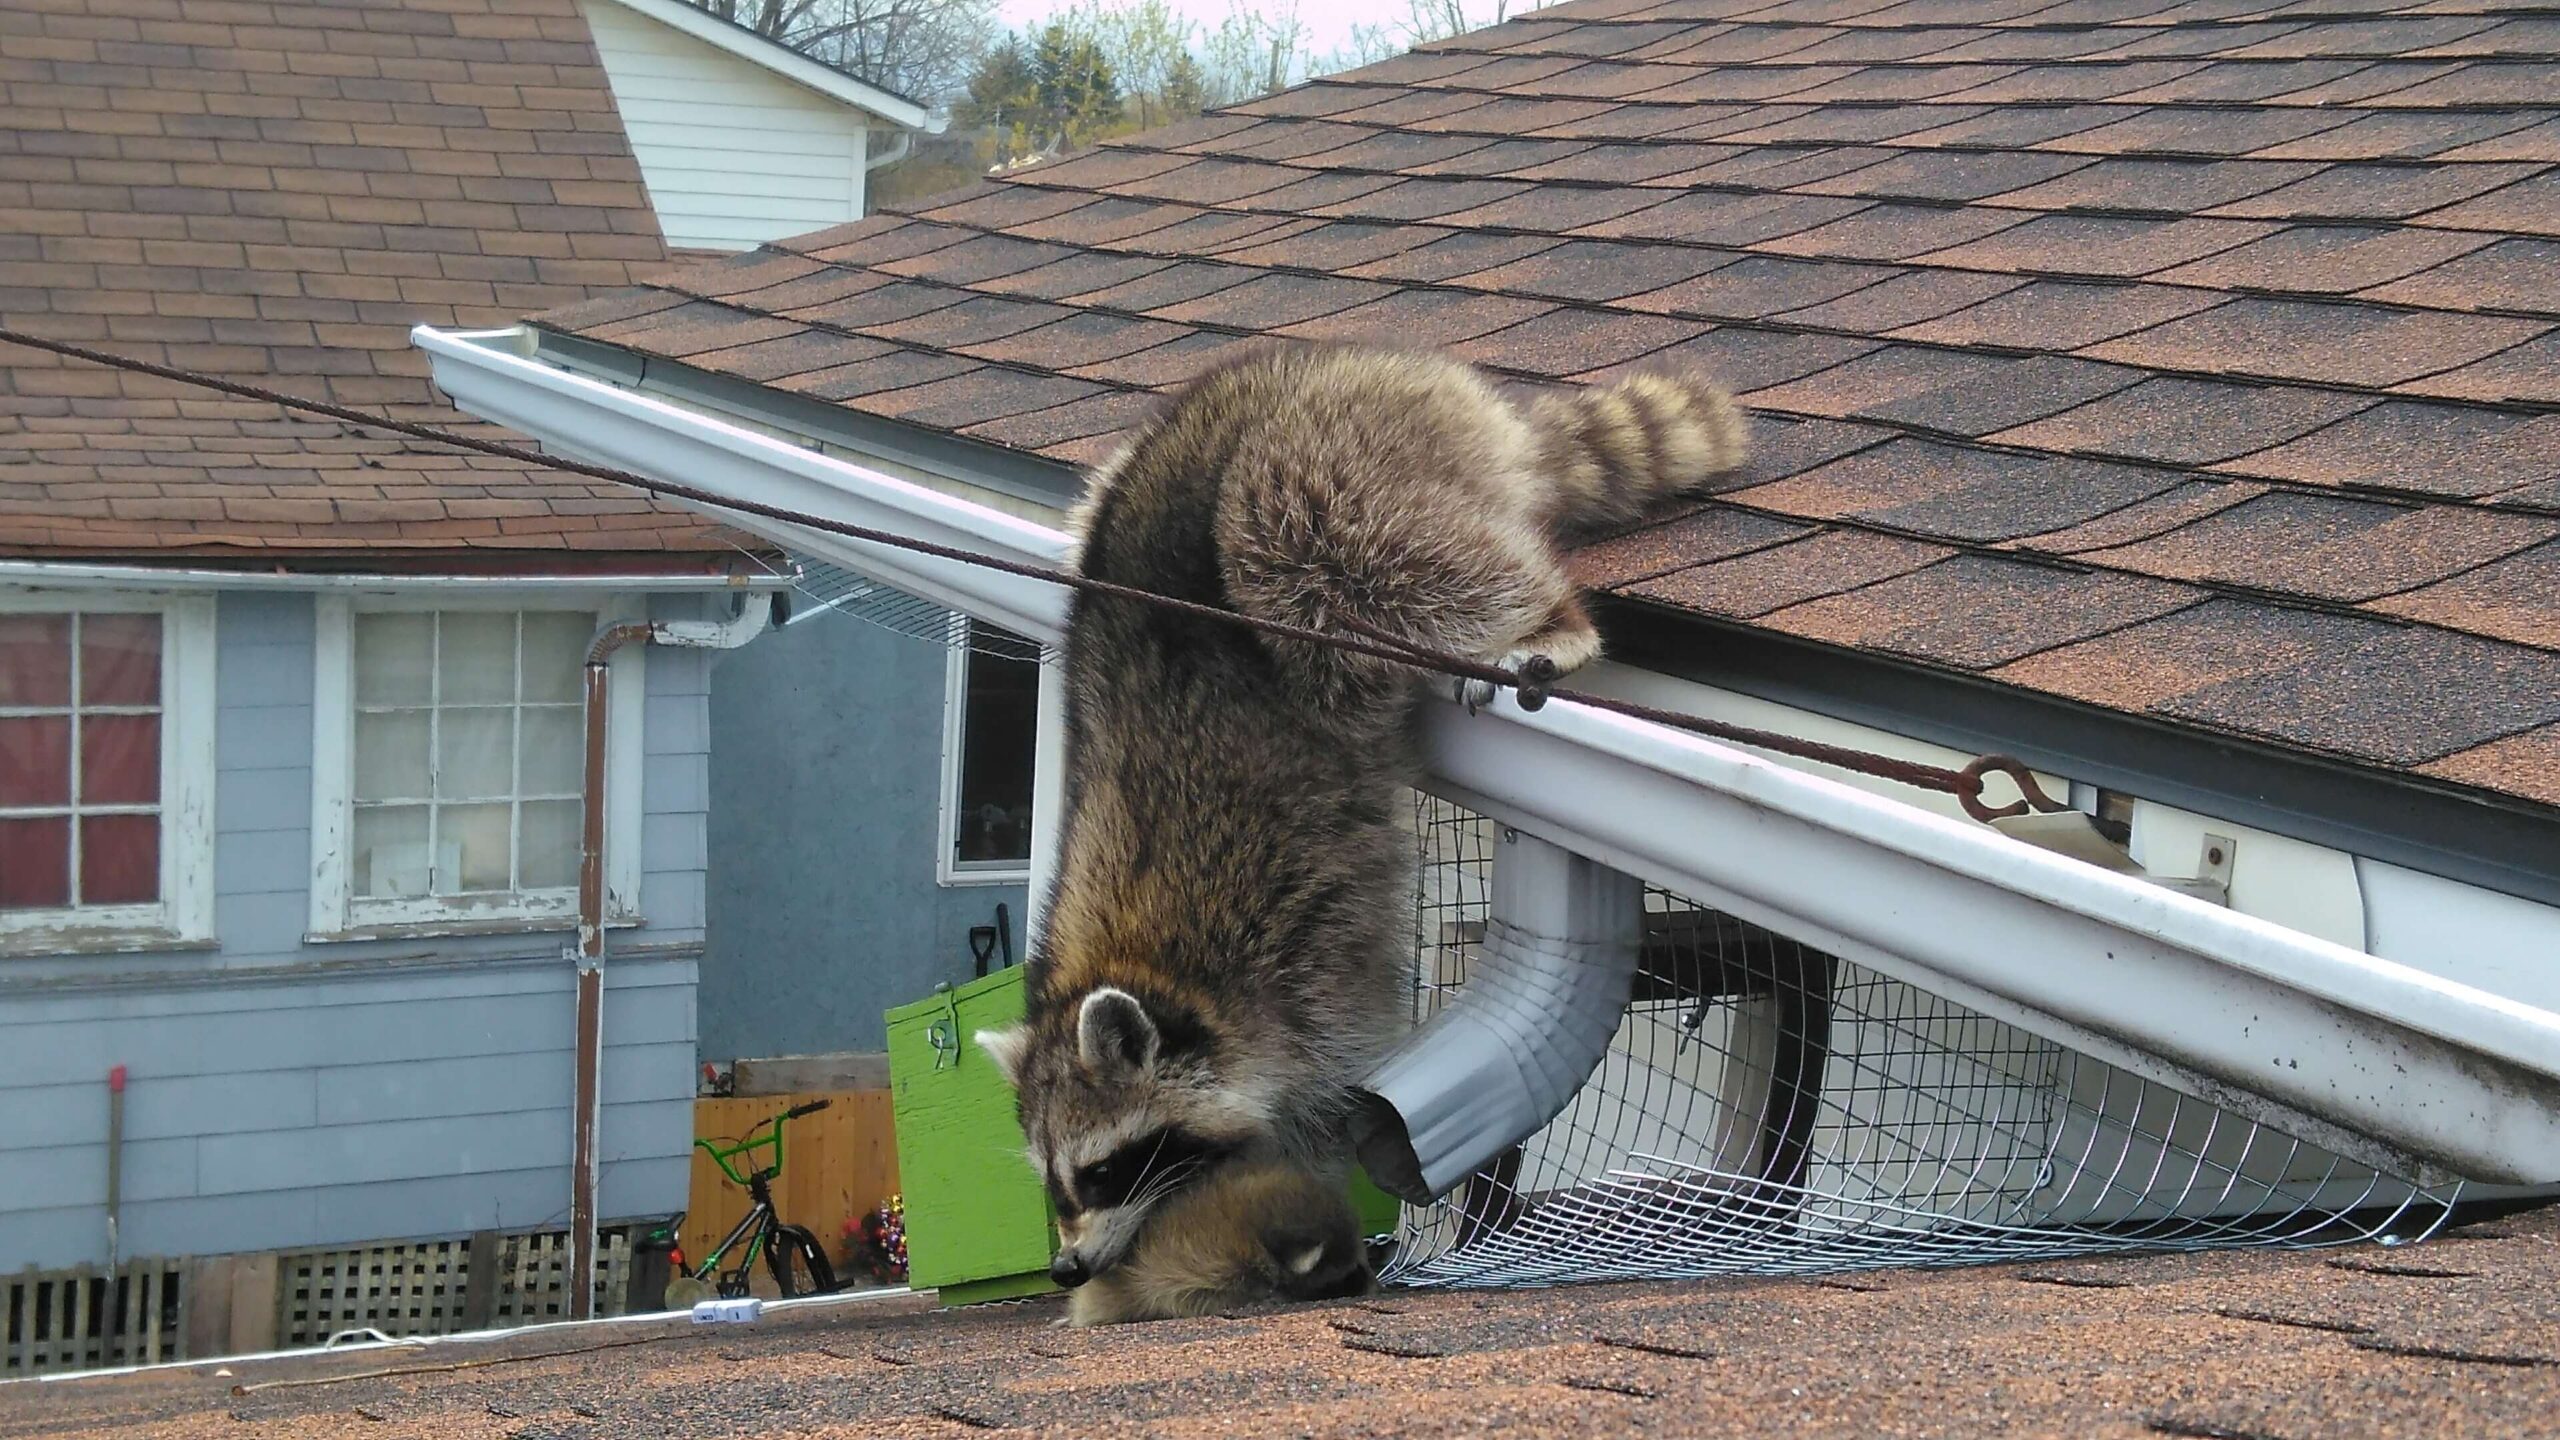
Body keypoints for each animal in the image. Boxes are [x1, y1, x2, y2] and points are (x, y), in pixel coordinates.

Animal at [972, 345, 1740, 1291]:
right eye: (1053, 1182)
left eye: (1104, 1169)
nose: (1067, 1270)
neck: (1144, 963)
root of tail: (1352, 361)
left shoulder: (1297, 945)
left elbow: (1320, 1088)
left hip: (1323, 464)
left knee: (1342, 554)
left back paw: (1549, 620)